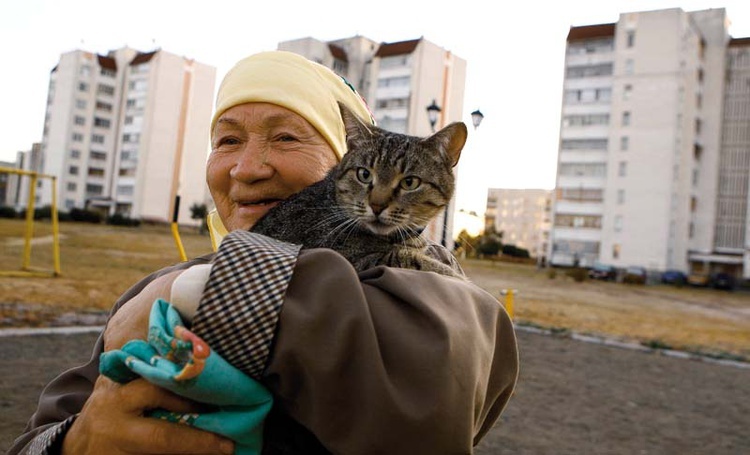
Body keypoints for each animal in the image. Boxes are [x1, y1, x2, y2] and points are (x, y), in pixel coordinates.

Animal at [253, 104, 470, 280]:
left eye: (409, 182)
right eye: (364, 174)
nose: (377, 205)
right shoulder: (349, 259)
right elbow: (416, 261)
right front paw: (456, 276)